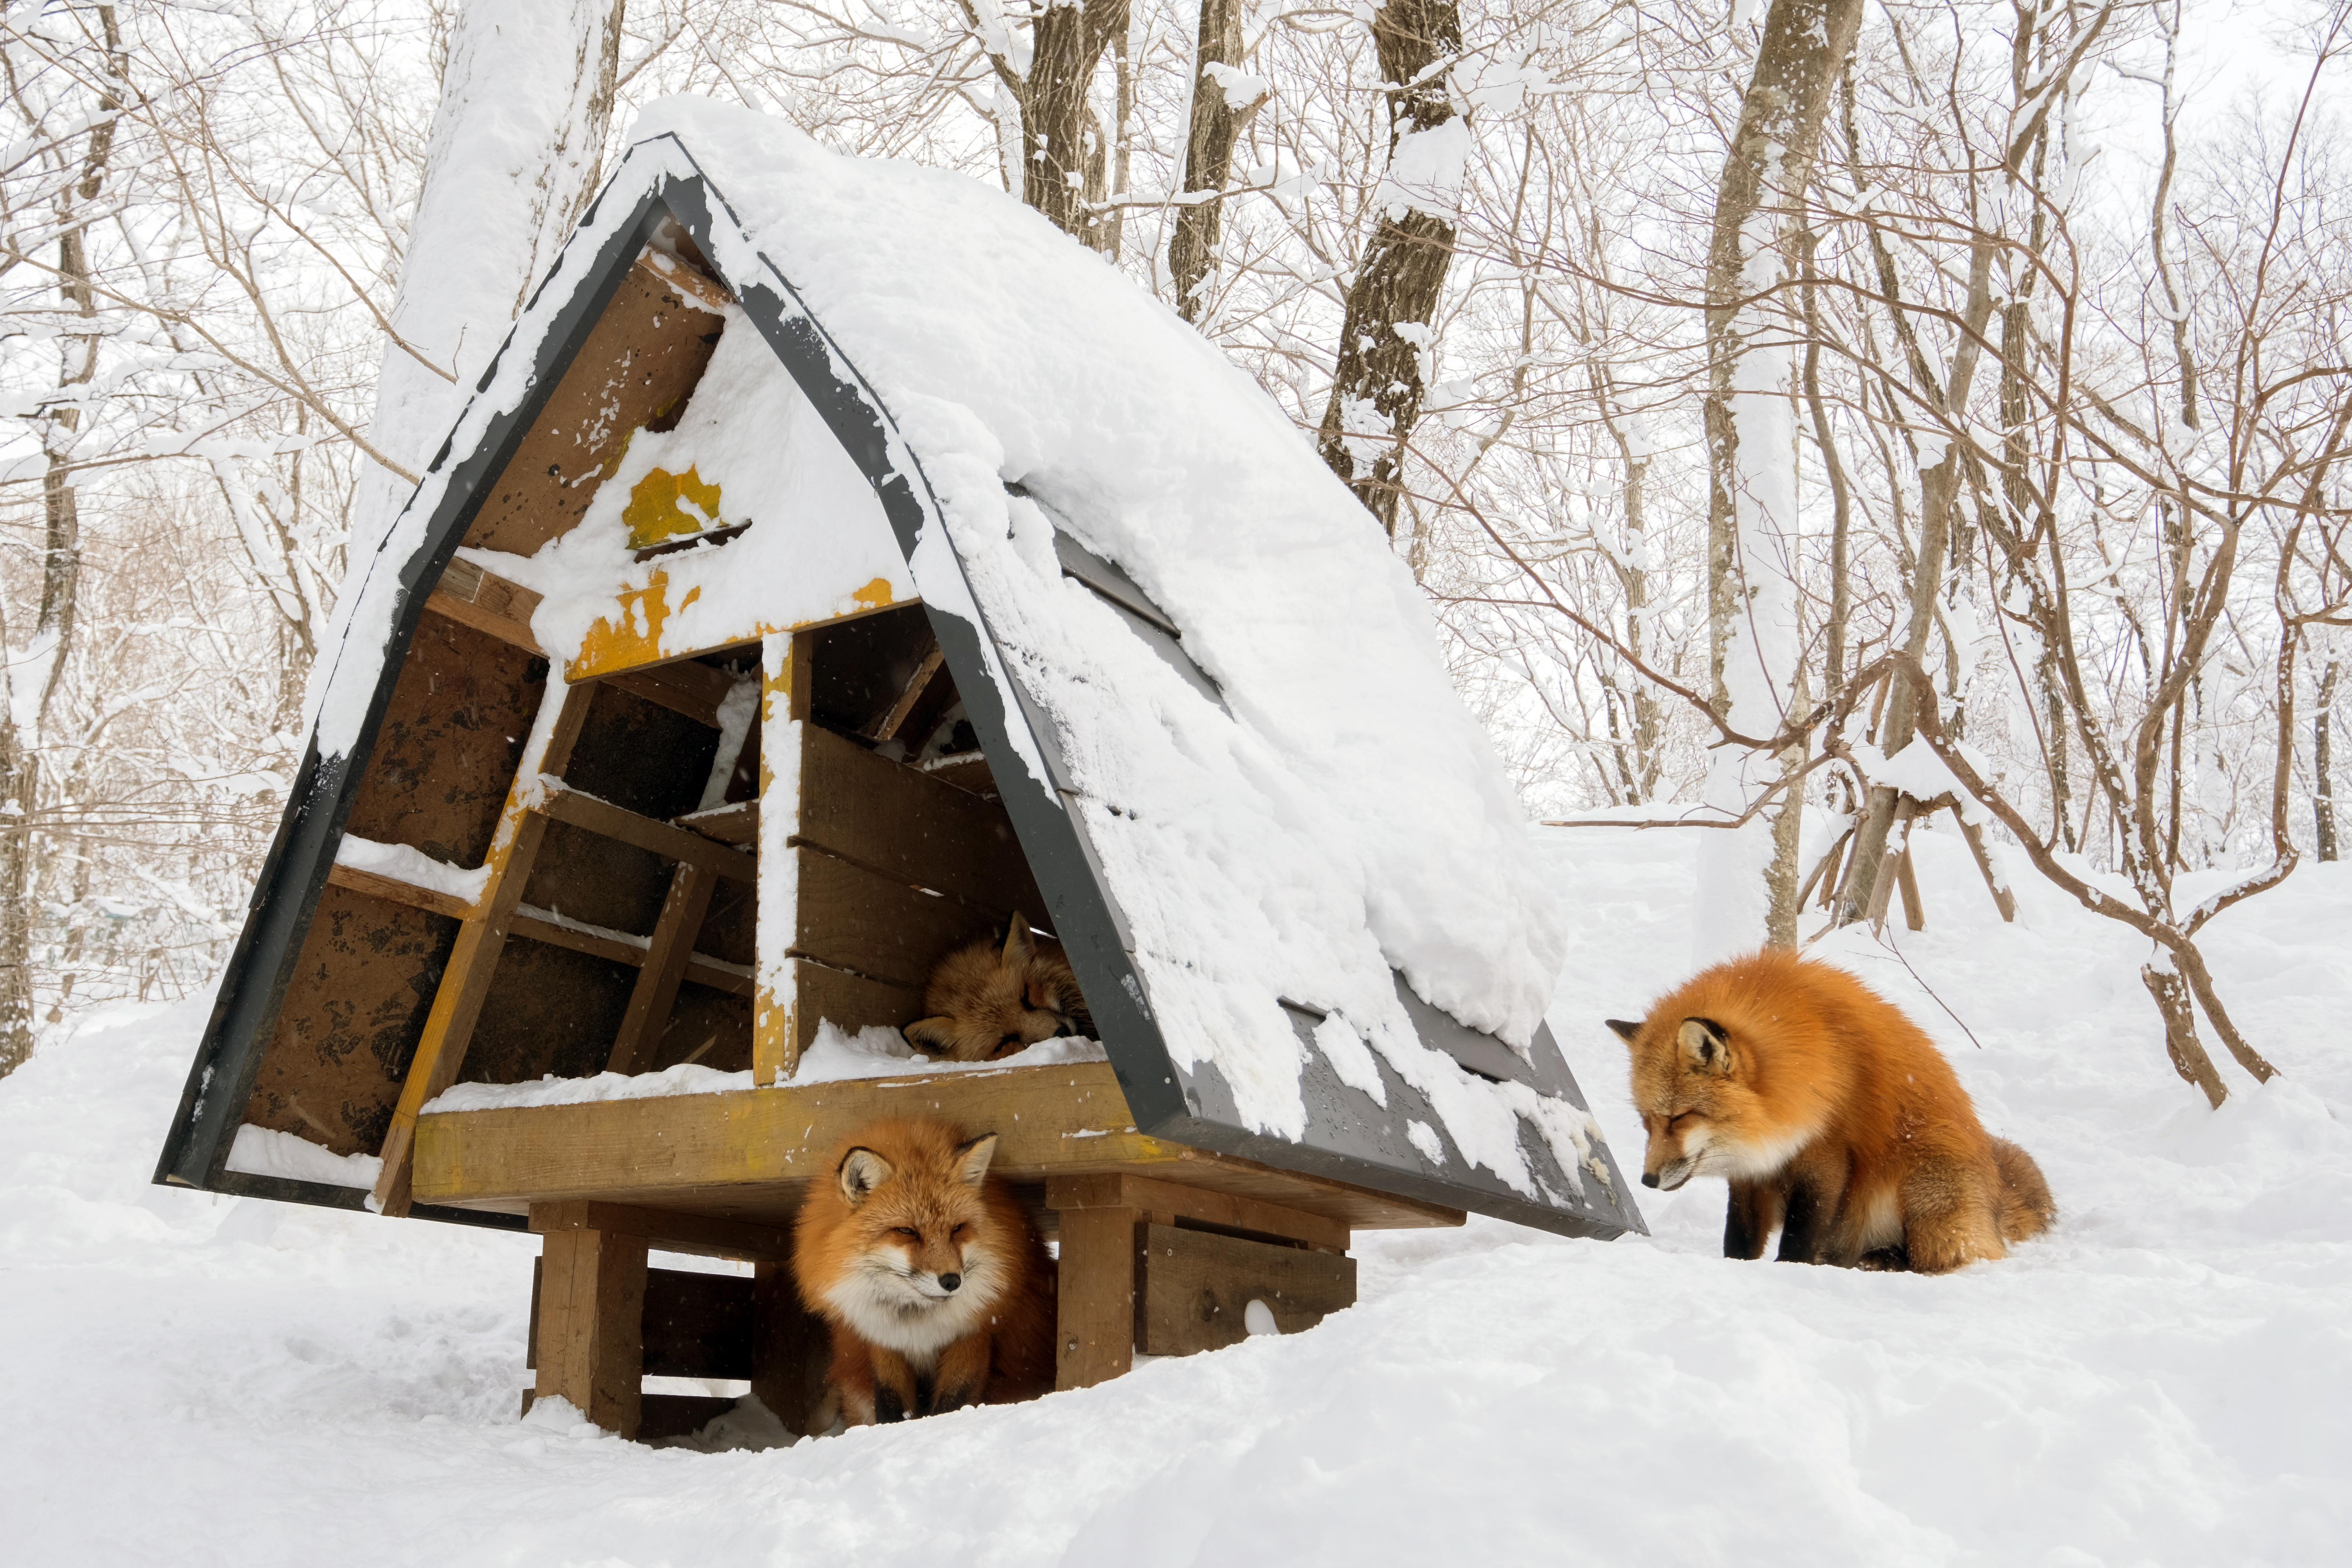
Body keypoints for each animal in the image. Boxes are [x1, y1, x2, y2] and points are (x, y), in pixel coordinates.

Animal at [790, 1109, 1058, 1429]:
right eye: (907, 1231)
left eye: (957, 1229)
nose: (952, 1281)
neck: (918, 1325)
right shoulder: (884, 1344)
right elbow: (891, 1407)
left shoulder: (973, 1339)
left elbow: (952, 1405)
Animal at [1609, 950, 2051, 1269]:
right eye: (1647, 1122)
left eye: (1679, 1117)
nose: (1647, 1180)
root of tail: (1993, 1199)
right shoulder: (1752, 1170)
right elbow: (1740, 1236)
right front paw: (1737, 1267)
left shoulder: (1828, 1156)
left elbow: (1801, 1233)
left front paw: (1791, 1271)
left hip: (1923, 1190)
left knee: (1942, 1257)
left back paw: (1888, 1260)